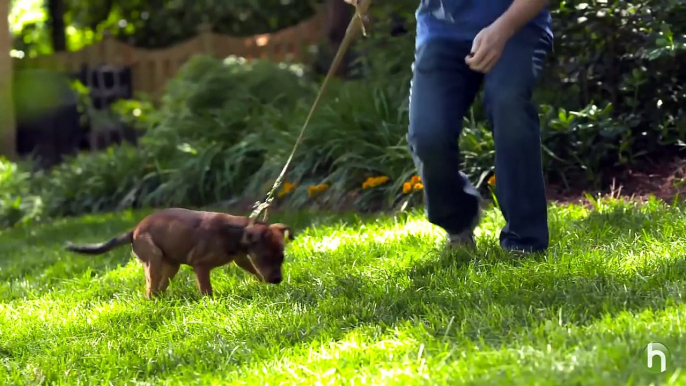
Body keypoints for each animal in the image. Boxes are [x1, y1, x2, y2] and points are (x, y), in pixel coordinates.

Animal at [61, 208, 292, 298]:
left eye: (281, 258)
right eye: (266, 257)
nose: (278, 280)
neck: (237, 234)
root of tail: (133, 231)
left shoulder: (241, 259)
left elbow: (254, 271)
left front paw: (262, 284)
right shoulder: (201, 266)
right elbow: (206, 289)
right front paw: (211, 303)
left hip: (171, 265)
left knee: (160, 287)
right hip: (153, 259)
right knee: (150, 289)